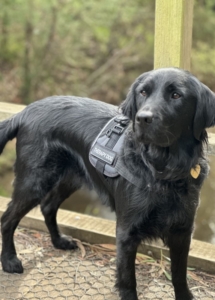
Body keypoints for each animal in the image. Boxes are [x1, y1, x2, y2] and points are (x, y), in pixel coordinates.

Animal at [0, 68, 215, 300]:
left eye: (176, 95)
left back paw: (59, 242)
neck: (162, 170)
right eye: (143, 92)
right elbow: (128, 280)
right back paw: (9, 260)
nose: (142, 119)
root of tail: (24, 112)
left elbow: (180, 276)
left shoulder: (182, 231)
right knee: (8, 218)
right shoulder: (126, 233)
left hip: (70, 178)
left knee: (48, 206)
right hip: (34, 181)